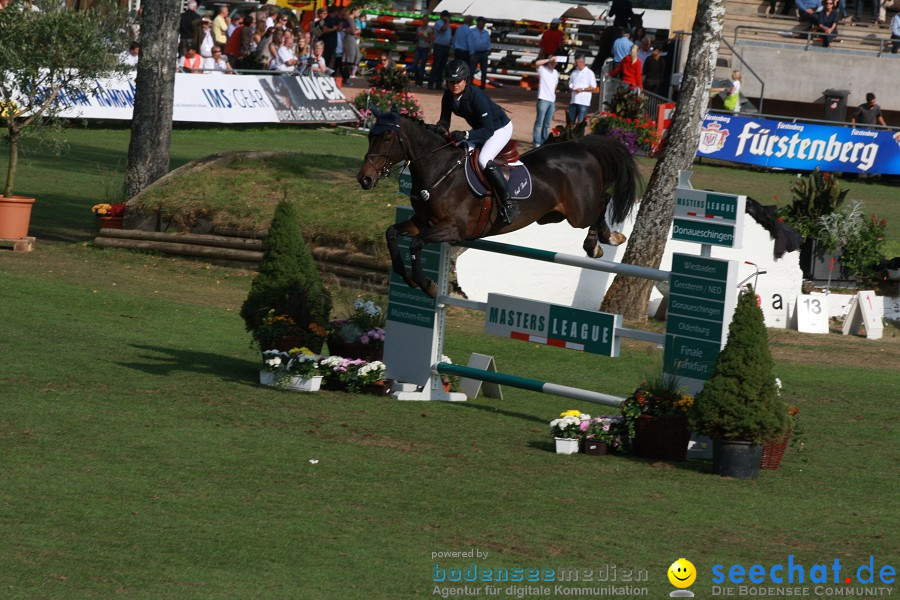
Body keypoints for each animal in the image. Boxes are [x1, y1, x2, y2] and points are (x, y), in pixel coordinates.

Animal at [356, 109, 644, 298]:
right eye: (370, 136)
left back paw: (602, 241)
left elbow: (416, 243)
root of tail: (580, 146)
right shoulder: (423, 223)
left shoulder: (454, 229)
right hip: (555, 215)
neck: (439, 171)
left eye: (387, 138)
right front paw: (406, 276)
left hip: (579, 213)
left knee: (603, 201)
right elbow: (392, 233)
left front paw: (427, 285)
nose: (364, 179)